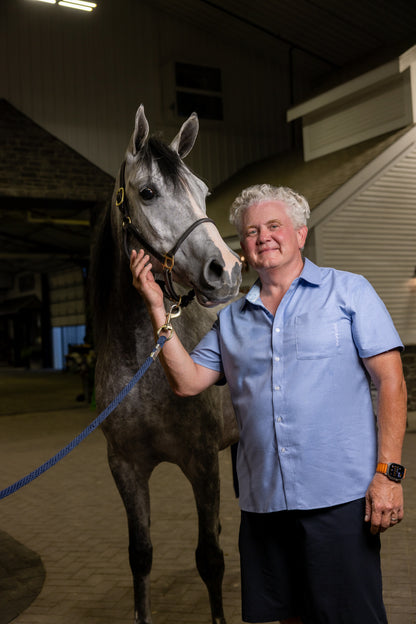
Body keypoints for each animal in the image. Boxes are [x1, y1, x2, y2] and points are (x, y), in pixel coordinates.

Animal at [90, 105, 242, 620]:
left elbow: (210, 558)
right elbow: (141, 554)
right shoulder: (126, 466)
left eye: (203, 191)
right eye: (148, 192)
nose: (226, 269)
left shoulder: (202, 463)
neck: (146, 361)